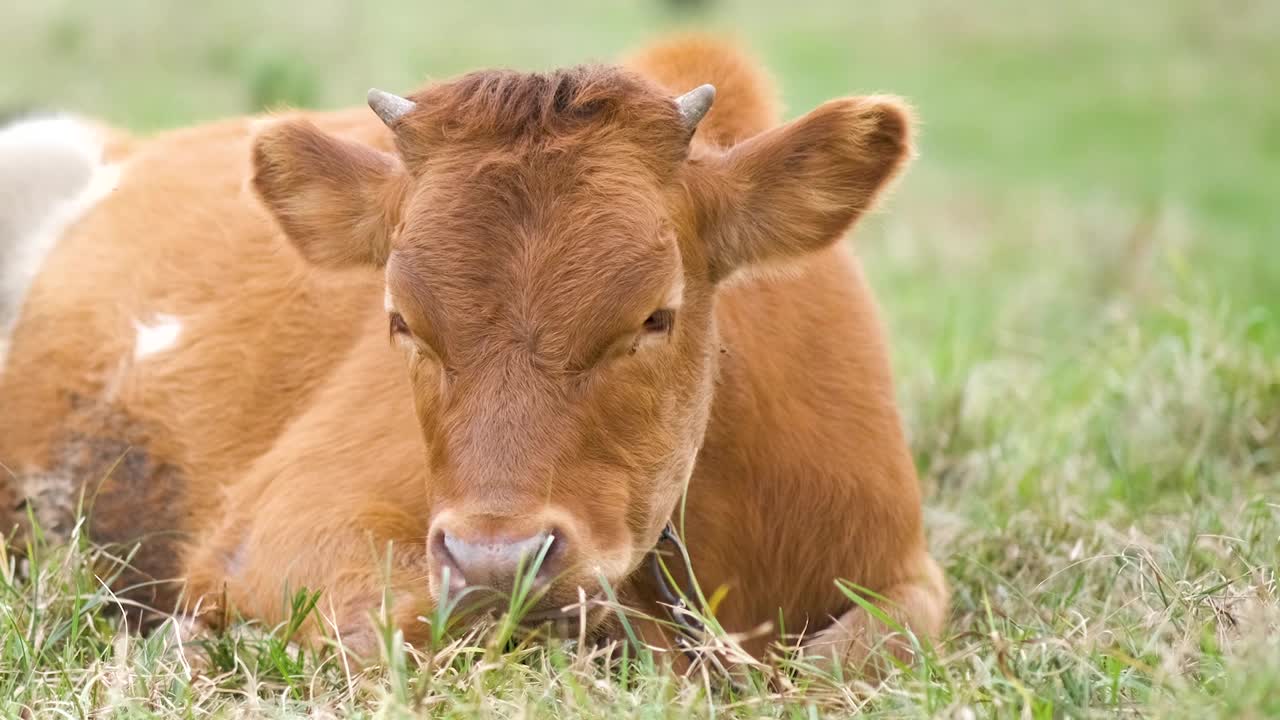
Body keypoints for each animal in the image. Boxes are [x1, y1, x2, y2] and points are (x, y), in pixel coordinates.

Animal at [0, 36, 942, 671]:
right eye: (400, 320)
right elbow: (395, 628)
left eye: (655, 316)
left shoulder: (905, 571)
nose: (498, 563)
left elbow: (863, 650)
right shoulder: (280, 532)